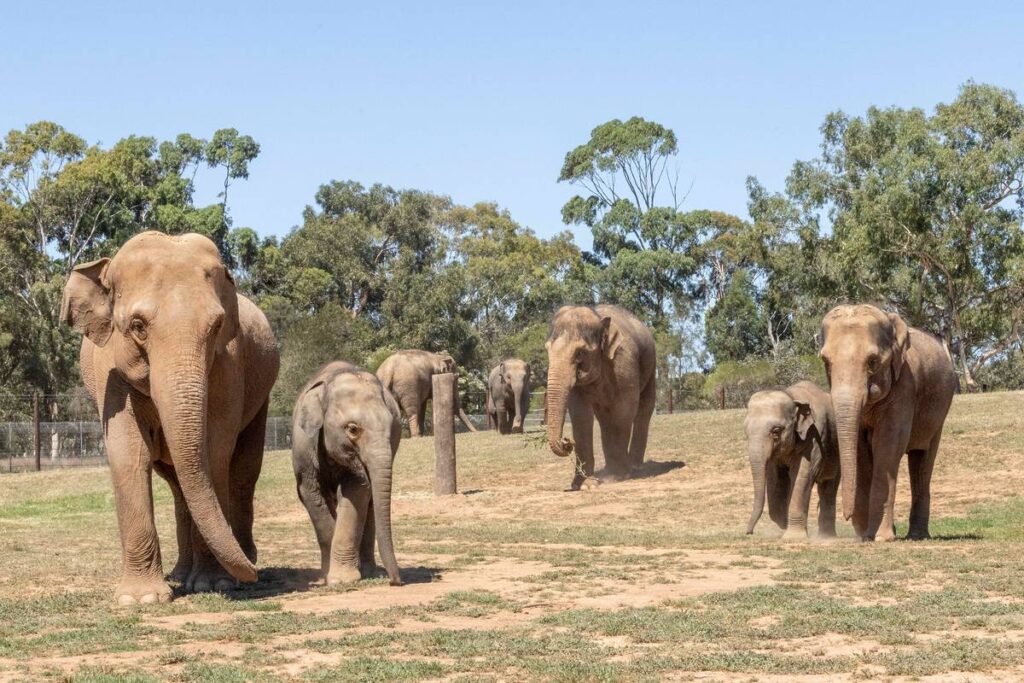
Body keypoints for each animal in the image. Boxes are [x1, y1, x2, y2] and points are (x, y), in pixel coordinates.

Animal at [61, 231, 279, 604]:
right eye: (137, 327)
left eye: (217, 325)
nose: (249, 574)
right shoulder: (110, 375)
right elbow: (129, 454)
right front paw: (141, 599)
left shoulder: (228, 366)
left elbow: (214, 454)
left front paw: (213, 585)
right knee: (179, 486)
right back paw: (182, 573)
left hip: (260, 396)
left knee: (242, 472)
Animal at [291, 361, 402, 586]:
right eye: (352, 429)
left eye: (392, 427)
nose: (396, 581)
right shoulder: (303, 448)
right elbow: (311, 493)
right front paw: (329, 578)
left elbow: (356, 493)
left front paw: (342, 578)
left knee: (371, 503)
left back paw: (369, 571)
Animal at [545, 304, 656, 489]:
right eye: (547, 350)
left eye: (580, 353)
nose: (567, 441)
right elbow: (580, 415)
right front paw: (584, 484)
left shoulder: (624, 364)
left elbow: (624, 409)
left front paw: (615, 477)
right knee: (605, 418)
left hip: (651, 364)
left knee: (644, 408)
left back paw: (634, 468)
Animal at [745, 381, 840, 540]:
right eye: (745, 431)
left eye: (776, 431)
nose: (749, 532)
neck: (791, 396)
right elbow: (776, 480)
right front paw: (785, 526)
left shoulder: (814, 435)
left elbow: (802, 476)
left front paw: (793, 536)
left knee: (829, 485)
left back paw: (827, 537)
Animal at [819, 304, 957, 541]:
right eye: (825, 362)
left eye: (872, 361)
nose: (847, 517)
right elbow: (861, 450)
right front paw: (866, 535)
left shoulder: (904, 387)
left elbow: (888, 444)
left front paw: (881, 537)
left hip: (939, 413)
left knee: (923, 459)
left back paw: (917, 536)